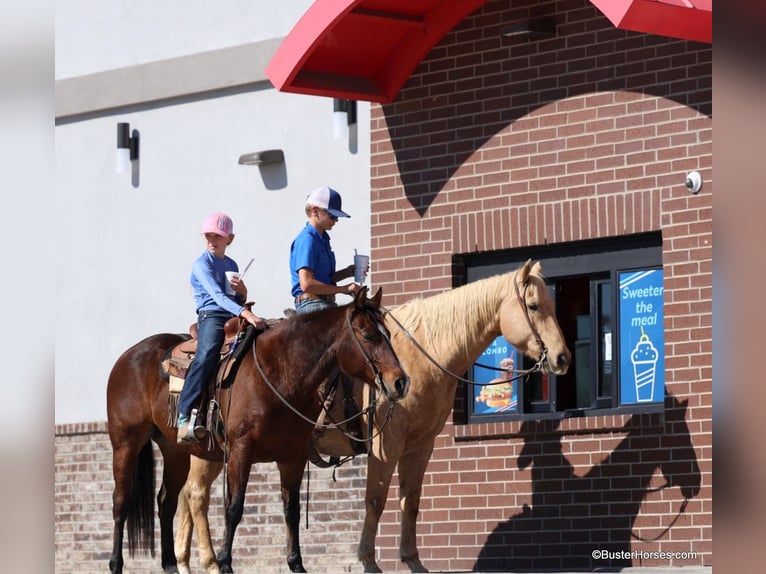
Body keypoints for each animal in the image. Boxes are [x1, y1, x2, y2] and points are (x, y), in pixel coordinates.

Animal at [106, 290, 414, 574]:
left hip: (175, 451)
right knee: (121, 502)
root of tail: (127, 357)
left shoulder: (293, 457)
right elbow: (234, 507)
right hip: (126, 443)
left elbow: (292, 510)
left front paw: (296, 564)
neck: (278, 372)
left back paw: (170, 565)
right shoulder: (241, 451)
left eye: (388, 334)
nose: (401, 382)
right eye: (368, 335)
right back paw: (116, 563)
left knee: (166, 502)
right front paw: (226, 563)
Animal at [174, 262, 568, 574]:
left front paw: (413, 560)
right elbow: (376, 500)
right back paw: (209, 562)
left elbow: (411, 502)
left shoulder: (420, 446)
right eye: (534, 305)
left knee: (188, 496)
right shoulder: (385, 443)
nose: (562, 358)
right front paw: (368, 561)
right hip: (213, 449)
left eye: (552, 303)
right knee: (197, 496)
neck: (424, 354)